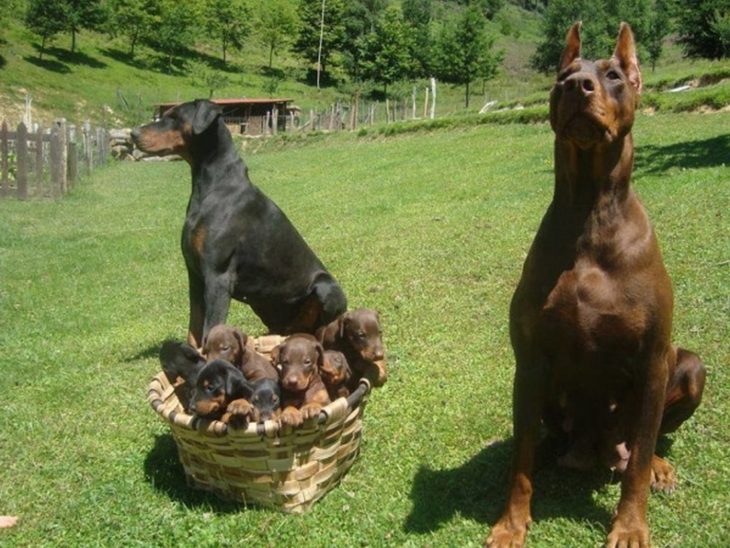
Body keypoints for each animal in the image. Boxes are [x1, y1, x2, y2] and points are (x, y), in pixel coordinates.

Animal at [131, 98, 346, 346]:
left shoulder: (218, 276)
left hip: (326, 287)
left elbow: (211, 329)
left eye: (174, 117)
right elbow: (194, 328)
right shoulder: (195, 276)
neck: (211, 186)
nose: (133, 133)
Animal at [484, 22, 704, 548]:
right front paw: (511, 522)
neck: (590, 212)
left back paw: (659, 466)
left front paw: (630, 526)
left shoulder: (652, 360)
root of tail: (595, 448)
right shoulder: (530, 361)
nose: (575, 87)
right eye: (561, 76)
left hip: (689, 366)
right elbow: (521, 460)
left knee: (642, 444)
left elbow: (639, 460)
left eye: (613, 75)